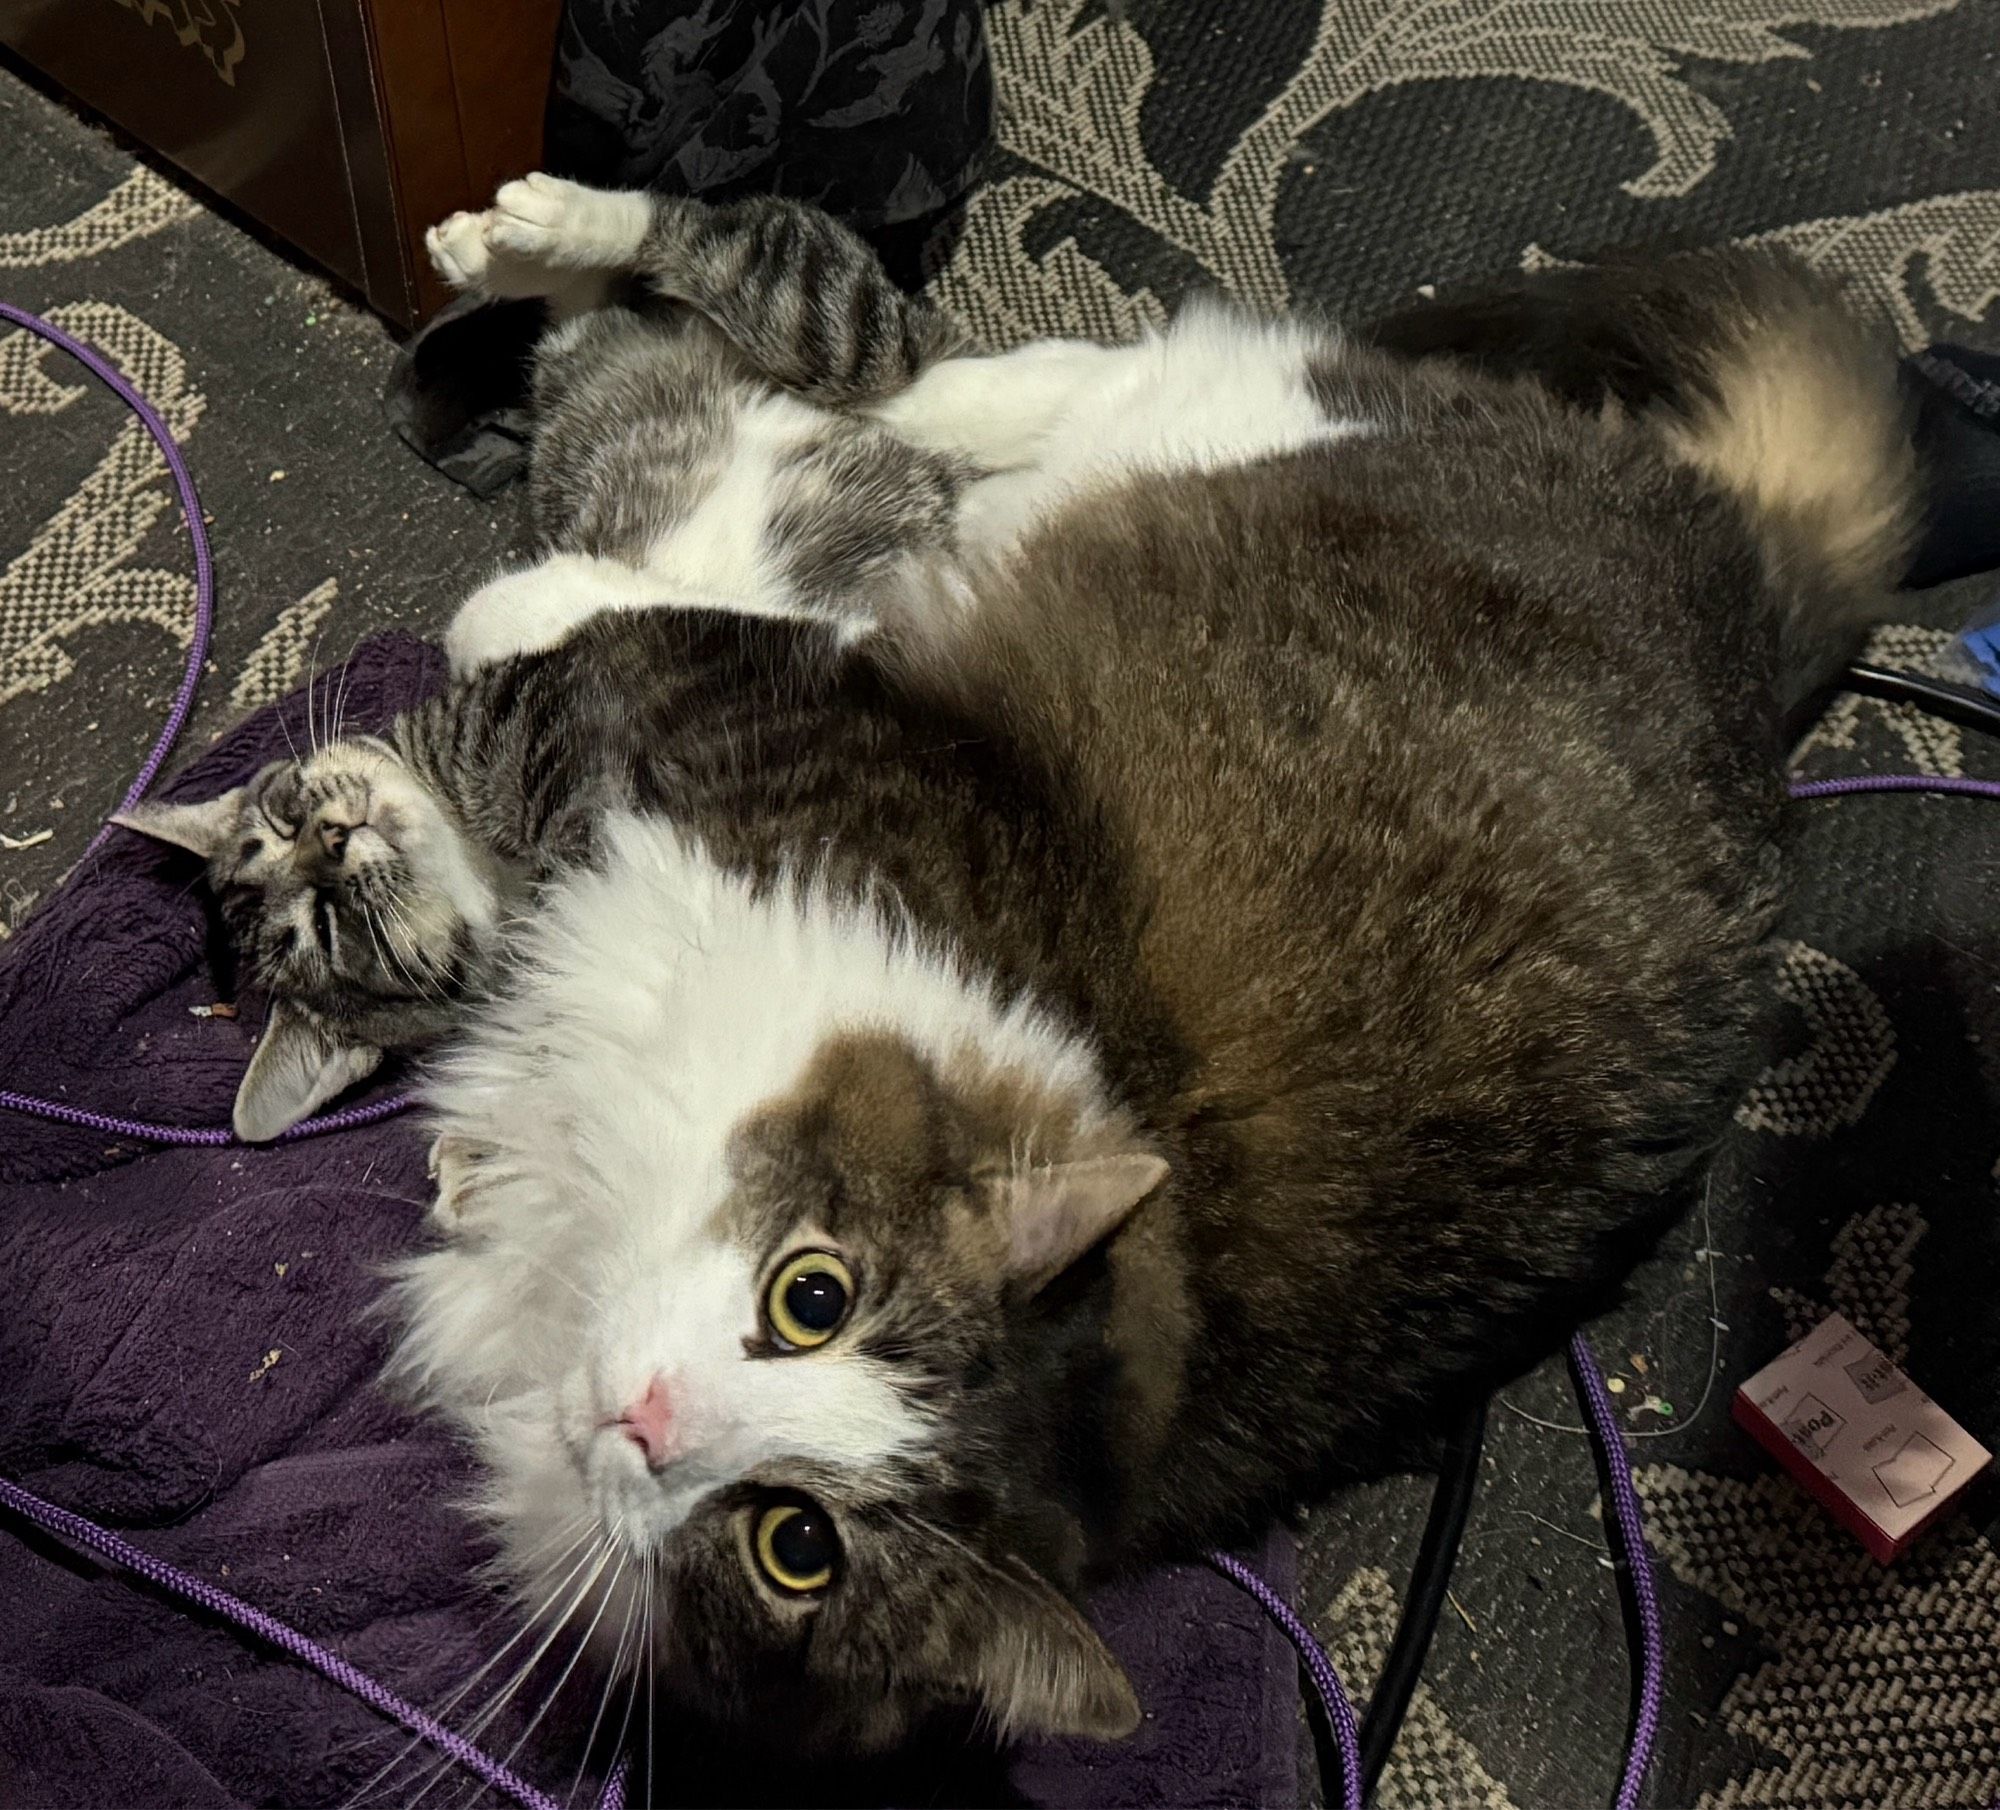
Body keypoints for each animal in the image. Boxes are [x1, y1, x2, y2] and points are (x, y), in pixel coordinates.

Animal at [117, 180, 1912, 1752]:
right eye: (303, 915)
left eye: (296, 863)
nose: (328, 840)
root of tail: (1744, 599)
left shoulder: (751, 679)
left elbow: (536, 615)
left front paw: (516, 596)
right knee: (857, 351)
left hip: (1148, 404)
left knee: (850, 328)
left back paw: (540, 238)